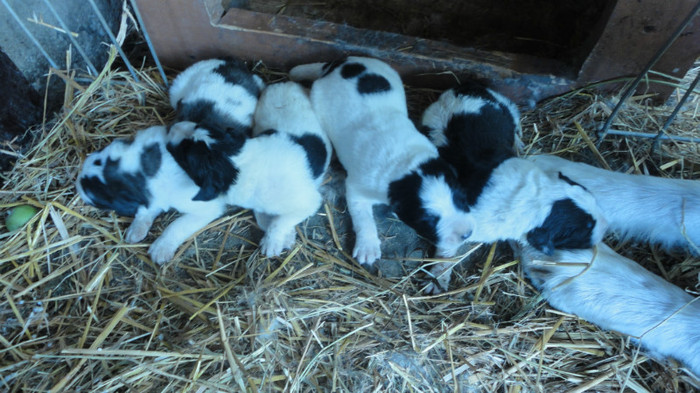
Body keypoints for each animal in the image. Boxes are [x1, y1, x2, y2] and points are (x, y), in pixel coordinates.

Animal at [288, 55, 474, 282]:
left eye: (461, 198)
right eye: (428, 220)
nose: (467, 234)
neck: (407, 168)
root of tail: (341, 63)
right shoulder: (357, 189)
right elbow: (363, 218)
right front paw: (367, 247)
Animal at [422, 83, 608, 290]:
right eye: (583, 229)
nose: (606, 227)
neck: (534, 196)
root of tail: (460, 89)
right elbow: (446, 253)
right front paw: (437, 280)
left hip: (508, 108)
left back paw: (519, 144)